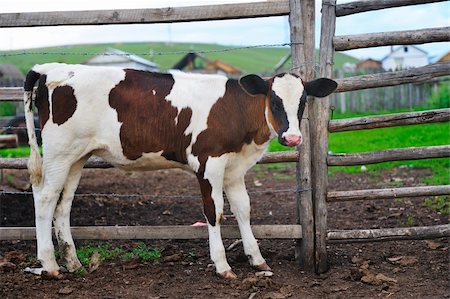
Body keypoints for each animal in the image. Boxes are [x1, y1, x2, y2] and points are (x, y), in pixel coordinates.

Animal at [22, 62, 336, 278]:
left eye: (303, 101)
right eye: (274, 100)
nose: (293, 138)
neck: (235, 110)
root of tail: (50, 68)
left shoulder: (234, 168)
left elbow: (244, 210)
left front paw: (257, 259)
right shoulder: (208, 162)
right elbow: (215, 212)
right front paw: (222, 265)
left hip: (77, 157)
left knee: (63, 204)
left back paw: (73, 263)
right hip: (59, 152)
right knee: (45, 199)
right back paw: (49, 265)